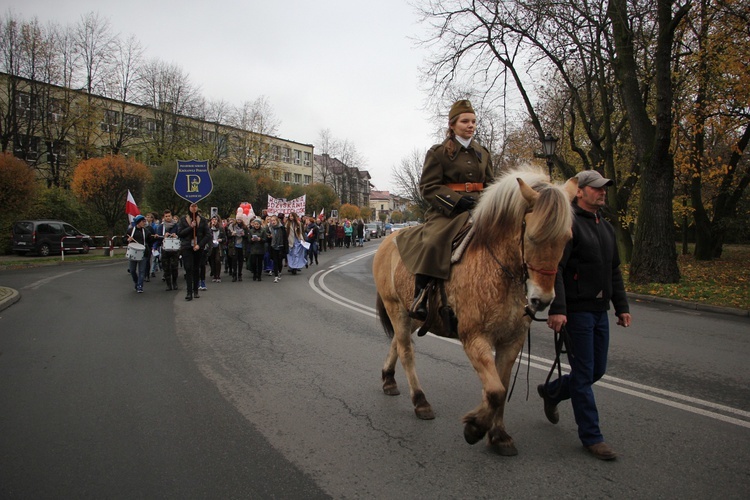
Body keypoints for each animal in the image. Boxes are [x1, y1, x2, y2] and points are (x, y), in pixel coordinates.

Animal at [374, 166, 576, 456]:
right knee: (406, 351)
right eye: (532, 236)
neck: (498, 270)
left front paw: (498, 434)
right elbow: (496, 391)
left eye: (567, 239)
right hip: (396, 309)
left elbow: (500, 386)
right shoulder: (474, 338)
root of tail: (388, 239)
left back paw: (389, 379)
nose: (542, 299)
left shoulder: (510, 342)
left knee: (397, 344)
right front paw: (475, 427)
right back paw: (420, 401)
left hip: (413, 316)